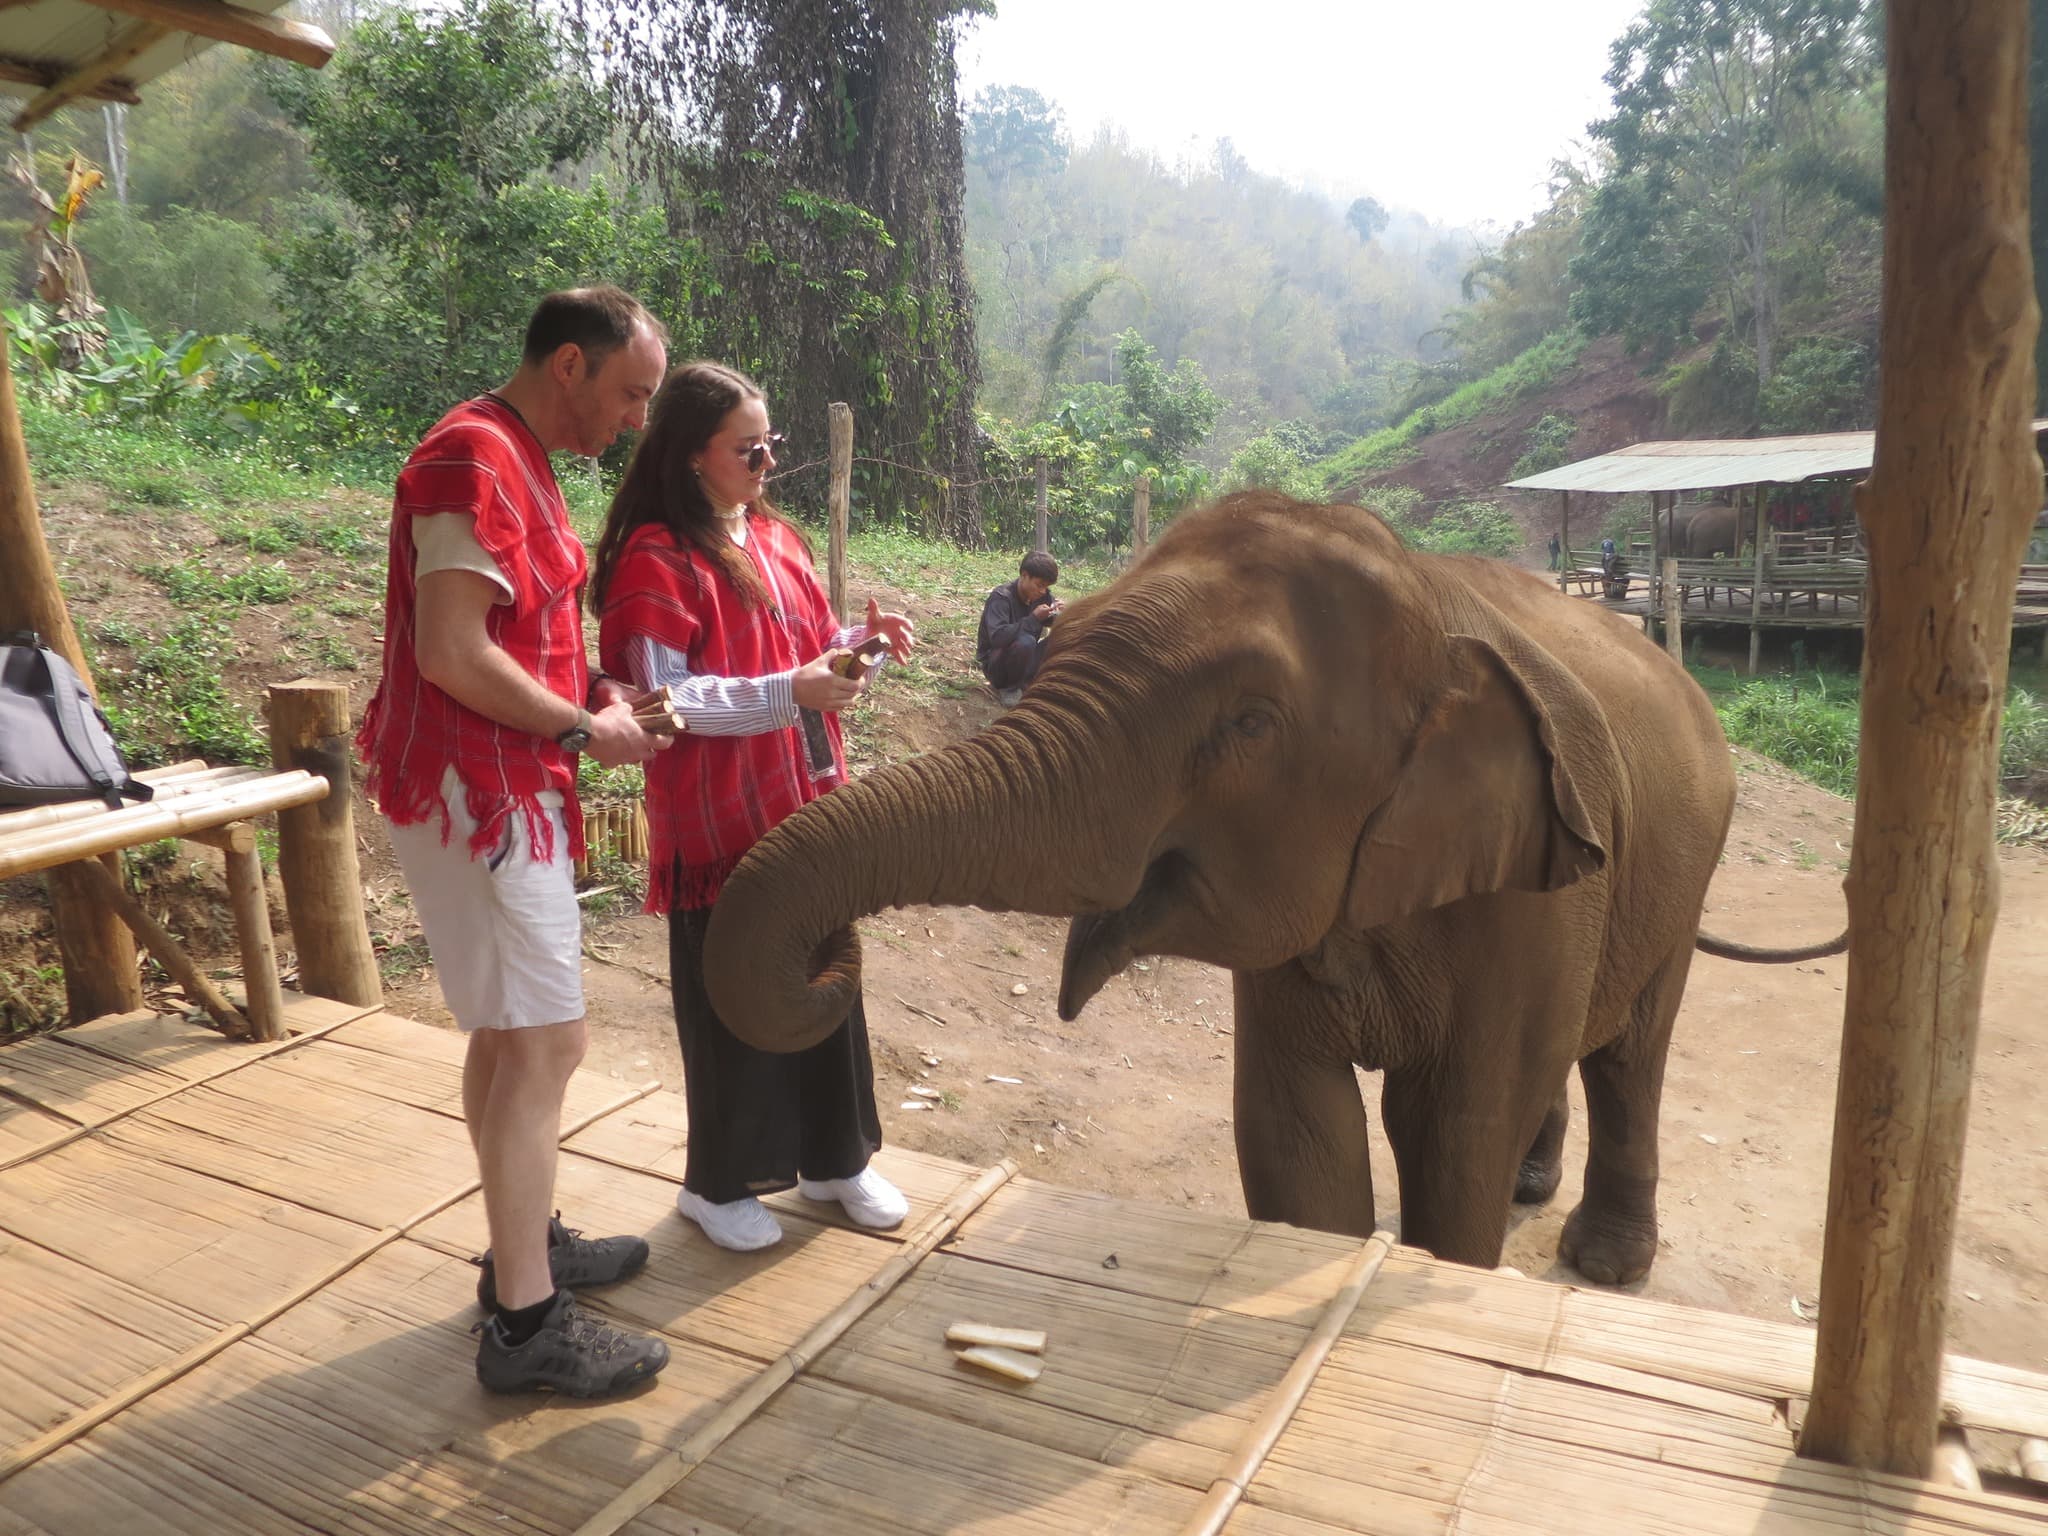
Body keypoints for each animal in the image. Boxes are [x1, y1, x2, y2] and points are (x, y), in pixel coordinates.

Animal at [701, 493, 1844, 1285]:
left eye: (1248, 723)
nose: (830, 963)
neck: (1431, 601)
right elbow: (1293, 1123)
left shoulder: (1535, 889)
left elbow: (1454, 1123)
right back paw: (1537, 1182)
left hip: (1683, 865)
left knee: (1629, 1054)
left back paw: (1603, 1260)